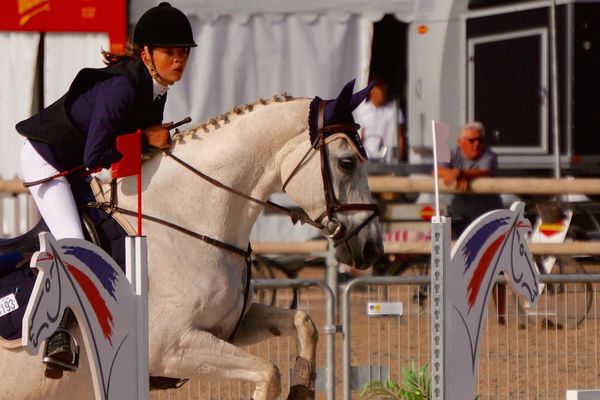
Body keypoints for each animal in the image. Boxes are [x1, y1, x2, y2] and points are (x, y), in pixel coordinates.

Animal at [0, 79, 384, 400]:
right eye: (347, 162)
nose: (372, 248)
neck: (183, 222)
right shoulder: (169, 348)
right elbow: (268, 372)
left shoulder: (232, 326)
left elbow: (304, 324)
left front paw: (303, 386)